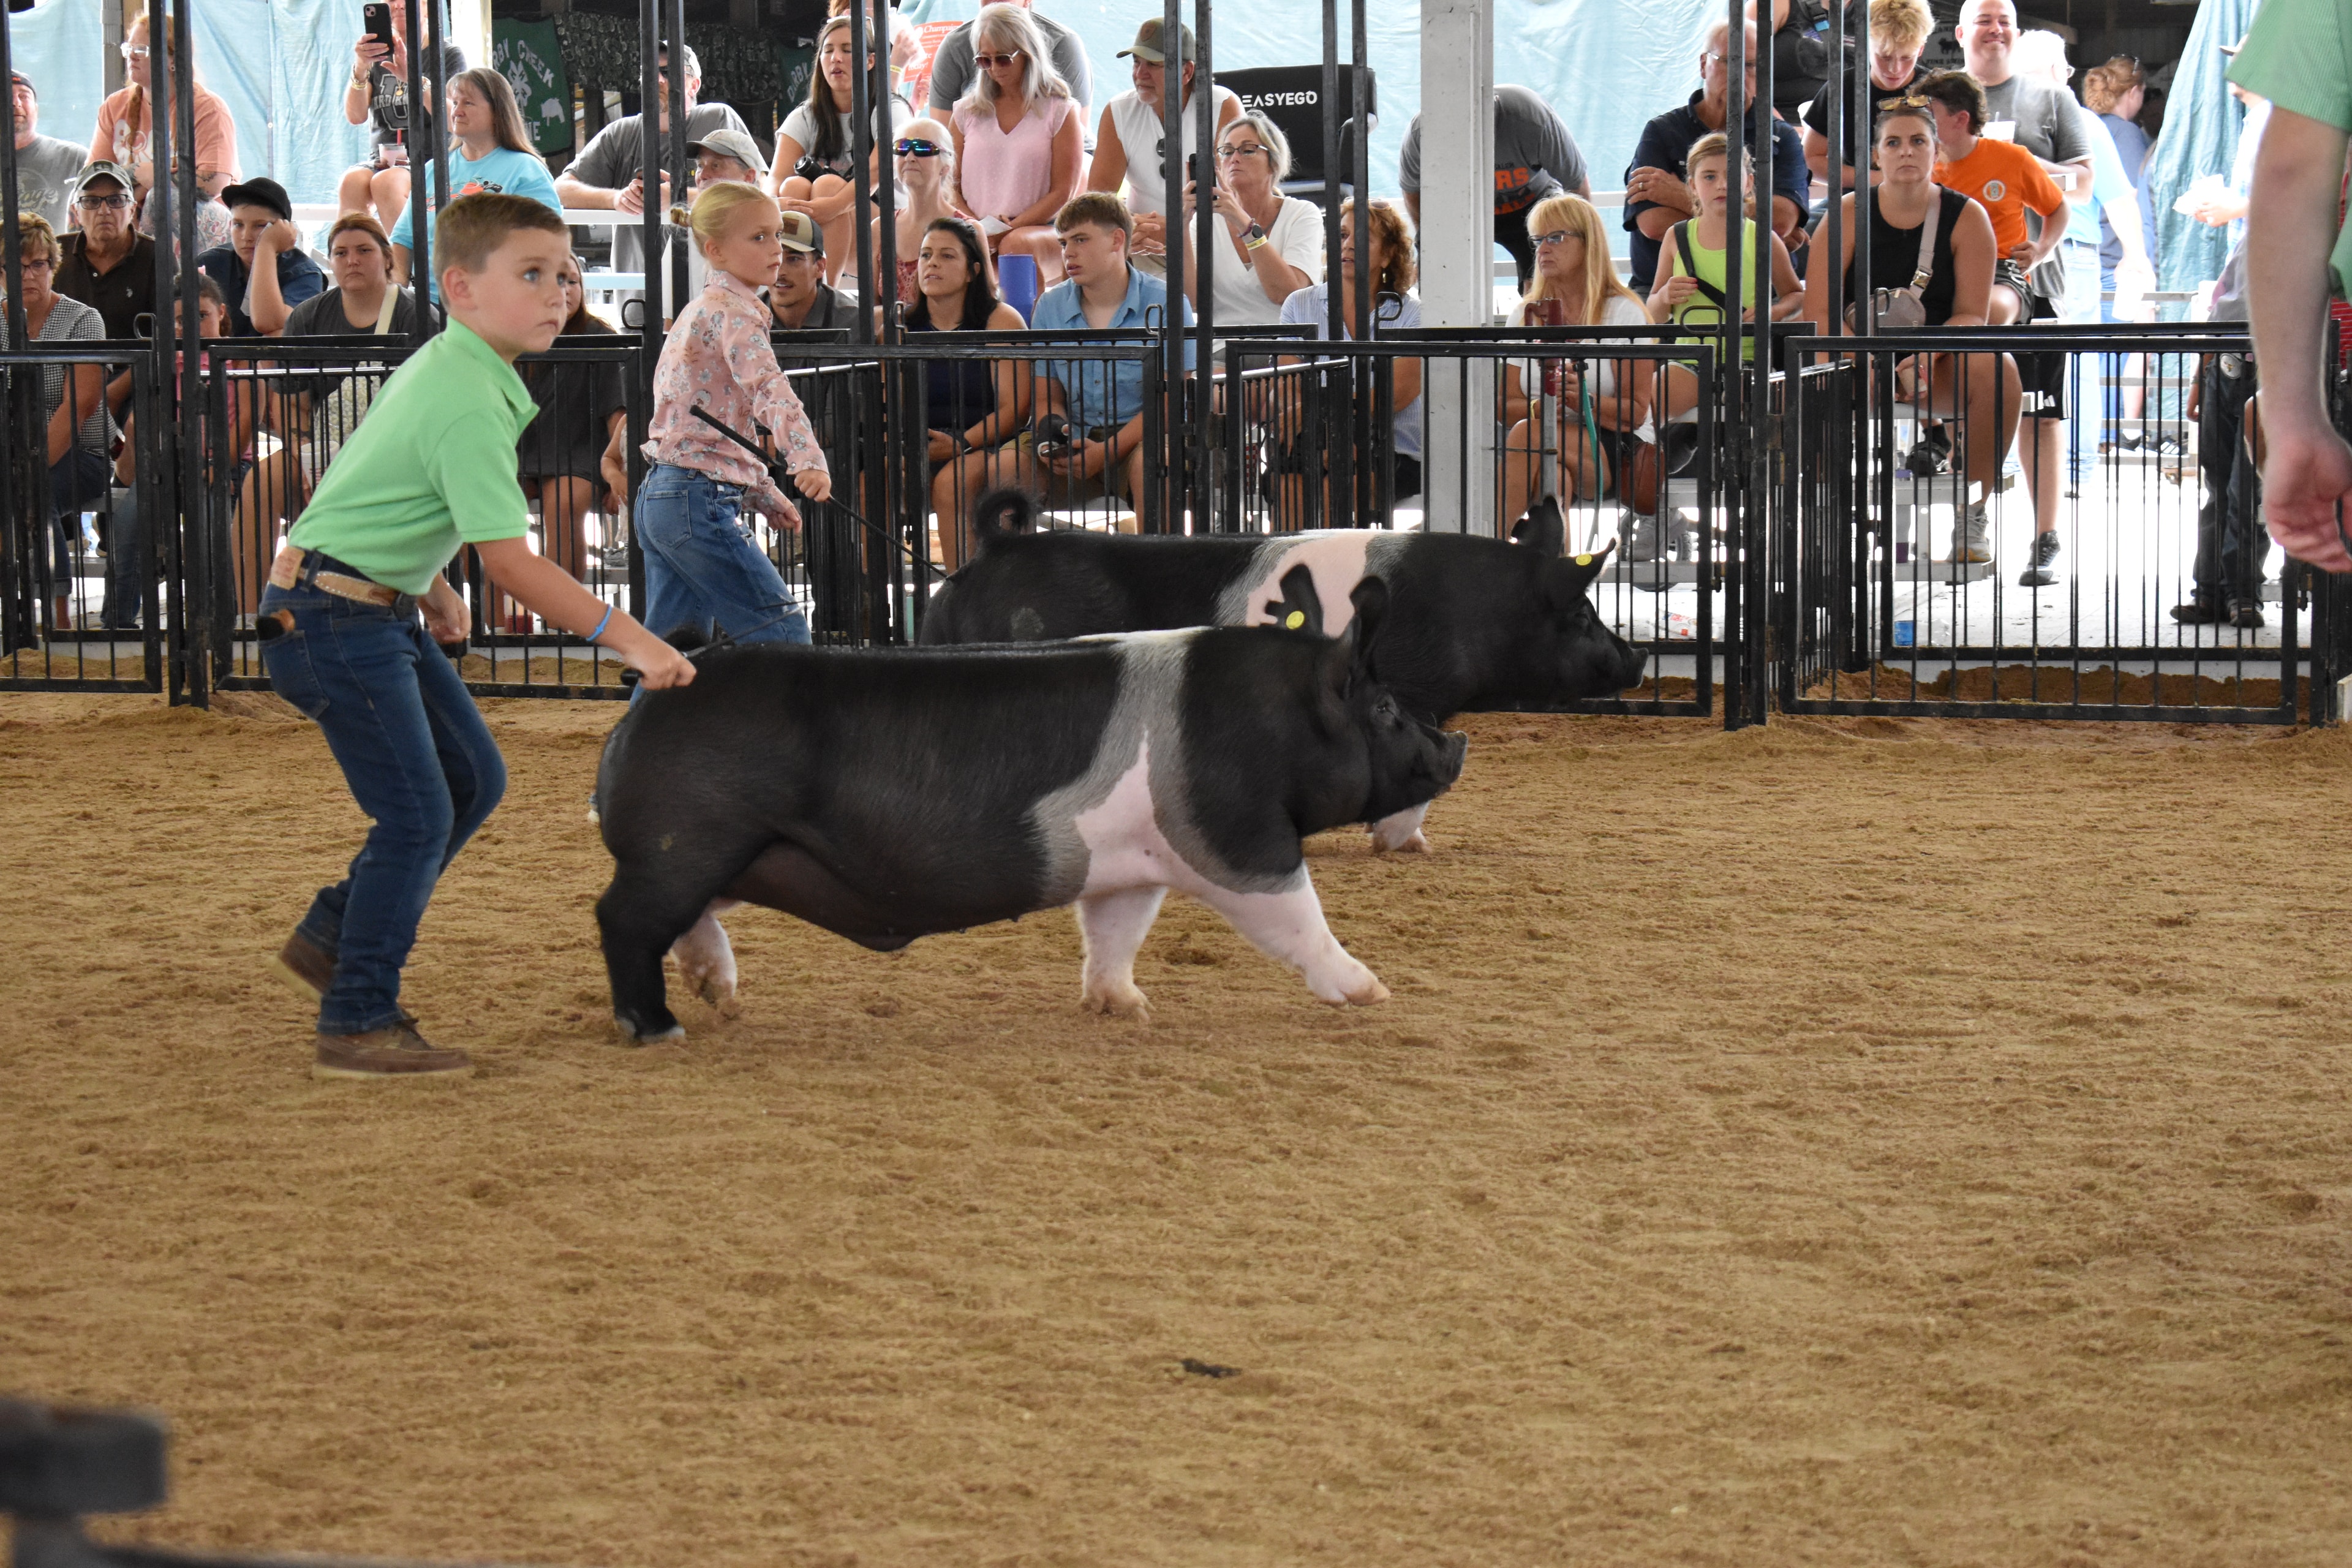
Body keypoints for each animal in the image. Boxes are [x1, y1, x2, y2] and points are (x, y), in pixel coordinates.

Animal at [594, 579, 1467, 1042]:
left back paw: (719, 994)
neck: (1280, 719)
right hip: (686, 838)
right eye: (1387, 709)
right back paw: (660, 1026)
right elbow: (1297, 916)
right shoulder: (1233, 836)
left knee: (689, 919)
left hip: (741, 855)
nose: (1456, 743)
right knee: (622, 917)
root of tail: (673, 674)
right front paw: (1372, 991)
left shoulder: (1138, 860)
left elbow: (1115, 931)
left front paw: (1126, 1007)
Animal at [919, 492, 1644, 852]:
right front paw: (1402, 842)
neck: (1477, 611)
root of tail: (996, 547)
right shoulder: (1410, 690)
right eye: (1582, 614)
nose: (1637, 657)